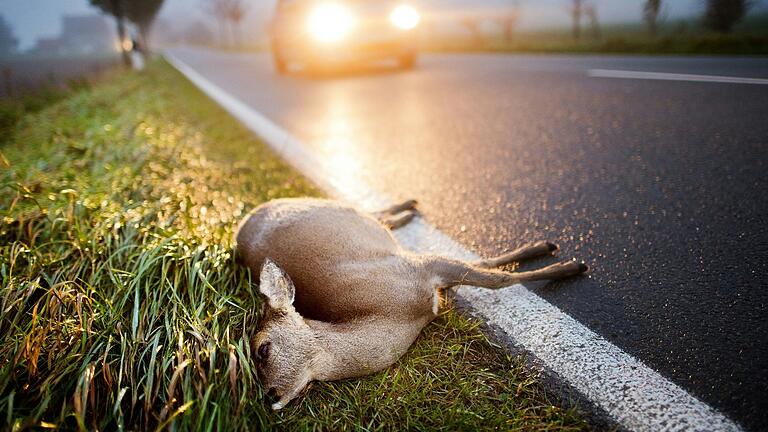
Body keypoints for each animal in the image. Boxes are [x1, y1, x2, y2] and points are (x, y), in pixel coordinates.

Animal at [236, 197, 588, 410]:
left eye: (262, 349)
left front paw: (566, 264)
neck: (398, 315)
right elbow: (487, 268)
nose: (269, 397)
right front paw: (555, 256)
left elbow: (495, 278)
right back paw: (409, 210)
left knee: (369, 209)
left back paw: (410, 207)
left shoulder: (419, 267)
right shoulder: (425, 273)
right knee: (374, 214)